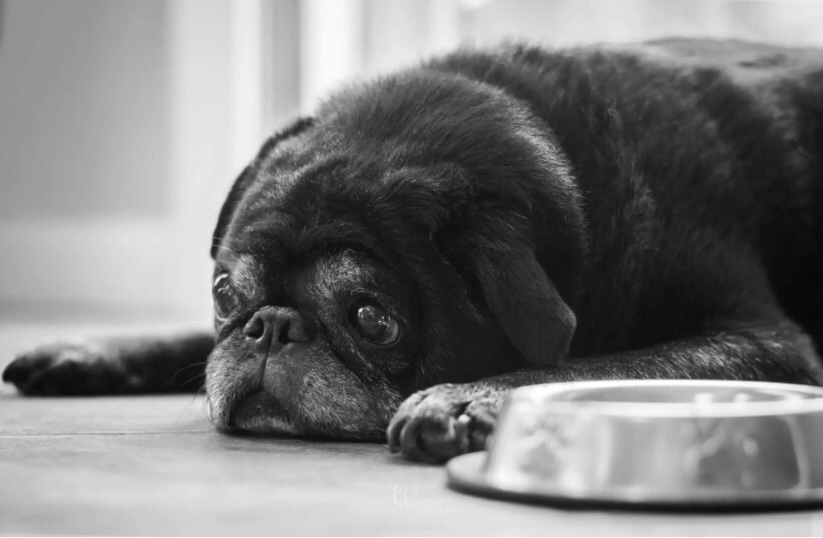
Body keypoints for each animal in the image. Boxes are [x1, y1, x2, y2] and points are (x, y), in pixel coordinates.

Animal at [4, 38, 823, 460]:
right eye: (226, 292)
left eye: (372, 319)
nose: (269, 328)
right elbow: (181, 342)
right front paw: (91, 350)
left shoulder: (762, 340)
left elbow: (590, 365)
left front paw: (466, 400)